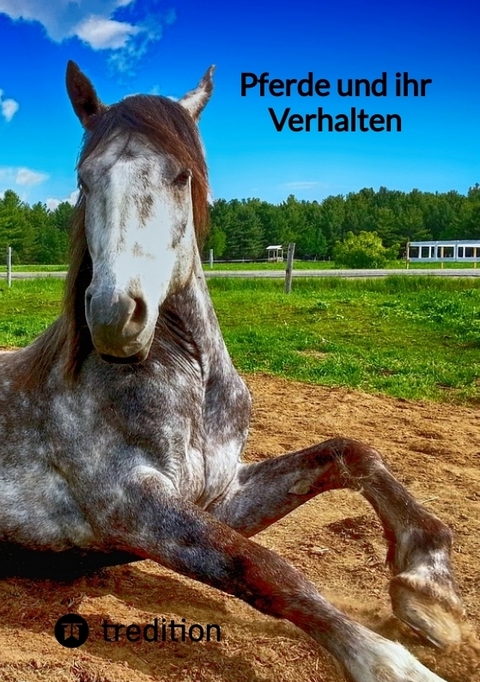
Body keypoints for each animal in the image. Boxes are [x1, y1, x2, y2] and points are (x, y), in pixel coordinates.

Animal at [0, 61, 465, 682]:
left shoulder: (220, 495)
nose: (114, 316)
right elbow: (264, 567)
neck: (190, 385)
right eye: (84, 179)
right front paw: (389, 662)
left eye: (180, 176)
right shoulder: (132, 510)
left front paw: (429, 591)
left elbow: (350, 453)